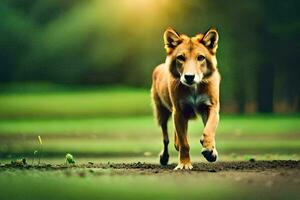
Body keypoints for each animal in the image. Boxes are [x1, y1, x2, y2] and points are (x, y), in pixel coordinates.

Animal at [151, 27, 219, 170]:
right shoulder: (179, 111)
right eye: (181, 58)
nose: (189, 76)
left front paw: (209, 150)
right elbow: (184, 143)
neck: (194, 88)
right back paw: (164, 157)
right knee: (166, 138)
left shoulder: (211, 107)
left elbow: (209, 129)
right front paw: (184, 164)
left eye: (200, 58)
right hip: (162, 113)